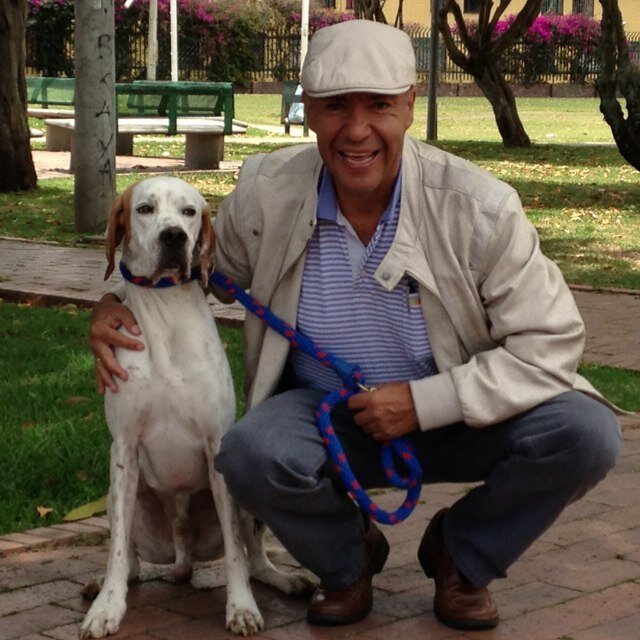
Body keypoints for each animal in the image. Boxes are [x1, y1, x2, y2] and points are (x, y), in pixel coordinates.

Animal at [80, 176, 316, 640]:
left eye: (190, 212)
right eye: (145, 209)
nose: (175, 237)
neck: (167, 316)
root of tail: (182, 548)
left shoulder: (216, 444)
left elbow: (236, 553)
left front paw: (241, 607)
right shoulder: (124, 447)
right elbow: (116, 552)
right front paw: (106, 609)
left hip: (245, 495)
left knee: (253, 555)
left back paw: (283, 578)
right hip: (120, 494)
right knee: (130, 561)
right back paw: (105, 584)